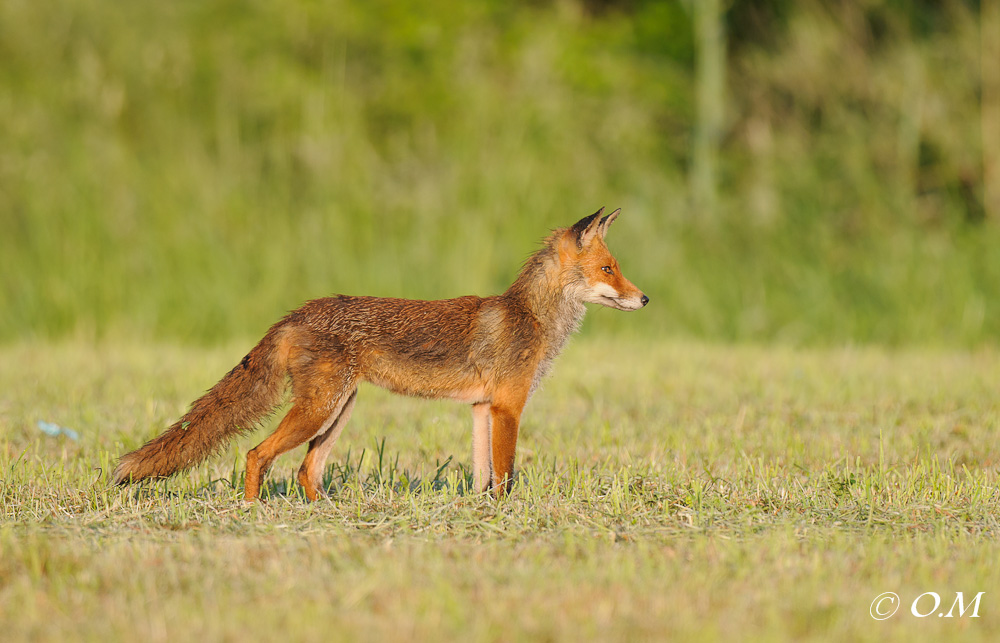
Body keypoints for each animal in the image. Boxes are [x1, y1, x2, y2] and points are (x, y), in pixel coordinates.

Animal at [113, 208, 648, 500]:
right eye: (609, 269)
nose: (645, 299)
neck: (531, 317)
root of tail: (298, 311)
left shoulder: (482, 407)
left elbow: (482, 475)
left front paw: (480, 516)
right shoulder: (508, 408)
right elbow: (506, 476)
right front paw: (506, 516)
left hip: (339, 410)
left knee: (306, 468)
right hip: (319, 409)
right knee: (256, 454)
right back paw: (252, 512)